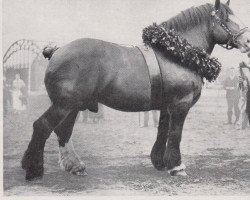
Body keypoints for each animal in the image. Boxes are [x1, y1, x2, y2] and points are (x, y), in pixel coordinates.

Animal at [22, 0, 250, 180]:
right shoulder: (180, 104)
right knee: (42, 126)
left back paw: (74, 166)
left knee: (63, 131)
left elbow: (163, 131)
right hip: (64, 104)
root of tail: (57, 51)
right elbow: (175, 133)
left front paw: (160, 162)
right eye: (226, 19)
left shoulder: (166, 106)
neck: (178, 52)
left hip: (73, 106)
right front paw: (176, 166)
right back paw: (34, 170)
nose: (247, 42)